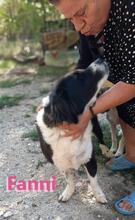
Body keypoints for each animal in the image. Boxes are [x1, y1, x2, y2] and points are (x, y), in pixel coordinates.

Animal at [35, 58, 108, 203]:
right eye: (78, 77)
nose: (100, 58)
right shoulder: (61, 164)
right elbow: (69, 180)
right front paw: (68, 192)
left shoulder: (90, 158)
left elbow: (94, 181)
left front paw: (99, 195)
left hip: (96, 125)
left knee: (101, 137)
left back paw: (106, 151)